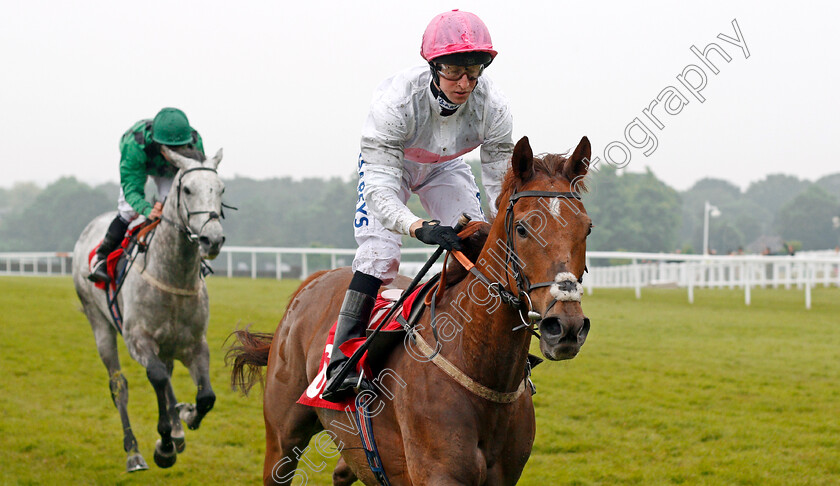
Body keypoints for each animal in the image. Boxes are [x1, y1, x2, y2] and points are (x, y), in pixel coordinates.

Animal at [72, 147, 225, 470]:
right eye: (187, 189)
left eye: (221, 189)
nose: (213, 239)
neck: (172, 276)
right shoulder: (138, 339)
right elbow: (155, 377)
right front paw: (164, 446)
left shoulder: (196, 343)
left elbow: (206, 396)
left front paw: (186, 415)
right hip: (99, 323)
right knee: (120, 385)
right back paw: (134, 451)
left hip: (168, 343)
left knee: (167, 374)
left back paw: (178, 427)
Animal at [231, 135, 592, 484]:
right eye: (522, 228)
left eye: (587, 227)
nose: (566, 327)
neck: (481, 368)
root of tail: (315, 279)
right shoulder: (439, 475)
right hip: (282, 438)